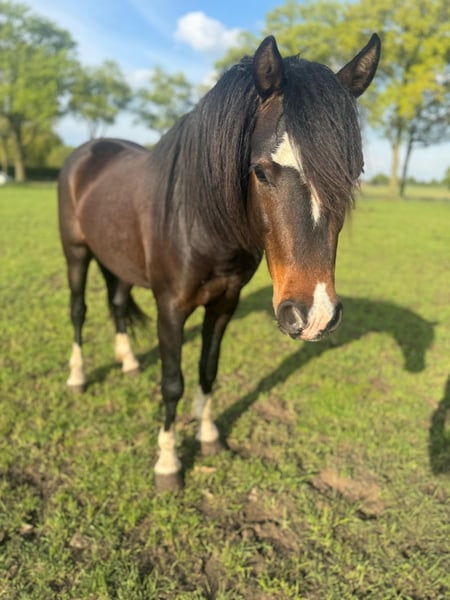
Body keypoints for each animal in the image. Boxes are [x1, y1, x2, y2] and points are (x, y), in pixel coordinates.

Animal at [58, 34, 381, 489]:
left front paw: (209, 436)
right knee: (78, 310)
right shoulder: (170, 308)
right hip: (76, 254)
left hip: (116, 259)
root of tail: (88, 150)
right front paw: (168, 464)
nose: (315, 315)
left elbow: (208, 370)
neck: (196, 217)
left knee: (117, 303)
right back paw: (78, 377)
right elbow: (172, 383)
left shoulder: (224, 303)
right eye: (260, 171)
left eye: (352, 173)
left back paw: (129, 363)